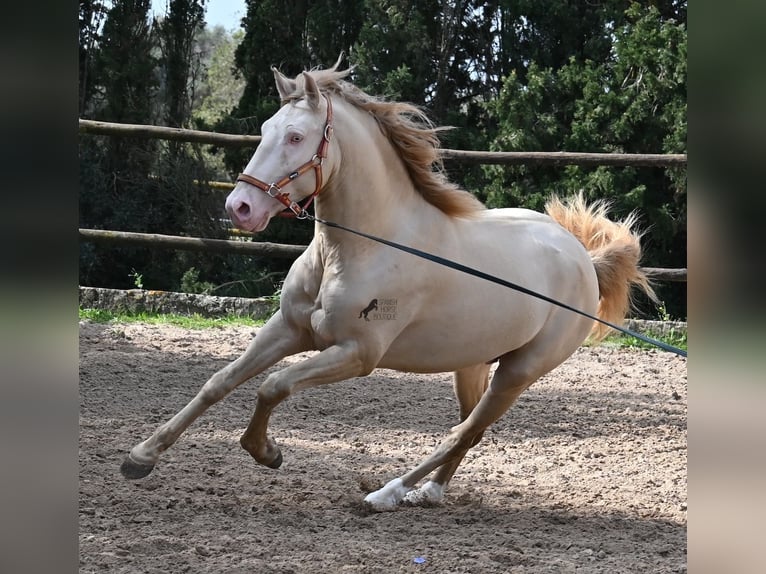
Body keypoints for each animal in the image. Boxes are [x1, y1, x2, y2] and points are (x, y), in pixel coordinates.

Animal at [123, 59, 656, 512]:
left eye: (295, 136)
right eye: (264, 130)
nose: (240, 208)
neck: (356, 251)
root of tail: (583, 258)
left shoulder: (357, 353)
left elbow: (274, 386)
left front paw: (266, 452)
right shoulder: (288, 329)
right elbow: (219, 382)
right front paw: (140, 456)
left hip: (520, 370)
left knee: (461, 432)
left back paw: (386, 493)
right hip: (473, 363)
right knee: (470, 430)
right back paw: (429, 493)